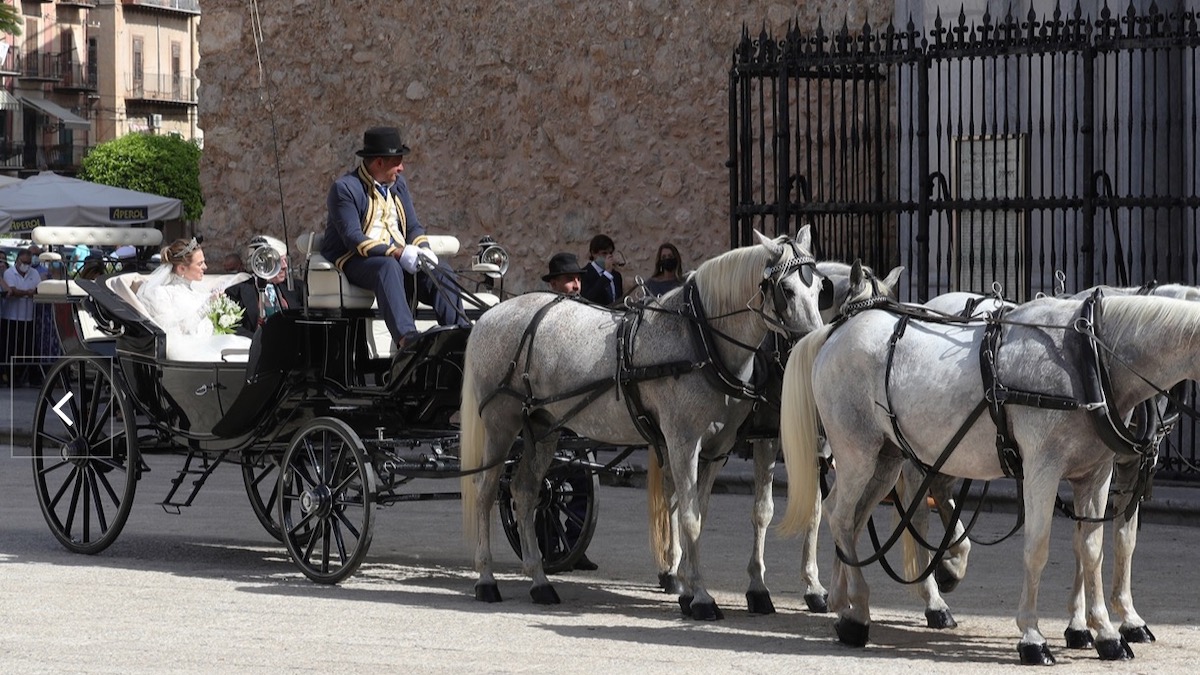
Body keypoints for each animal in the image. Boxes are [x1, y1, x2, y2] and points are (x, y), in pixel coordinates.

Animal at [458, 225, 825, 614]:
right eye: (786, 290)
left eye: (820, 287)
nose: (810, 347)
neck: (699, 339)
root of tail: (489, 317)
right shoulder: (684, 442)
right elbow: (691, 516)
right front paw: (701, 596)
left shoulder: (719, 447)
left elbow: (701, 512)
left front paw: (690, 586)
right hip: (500, 424)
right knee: (485, 492)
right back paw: (486, 578)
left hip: (543, 428)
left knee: (525, 493)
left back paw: (540, 580)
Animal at [777, 291, 1190, 658]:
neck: (1088, 357)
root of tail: (835, 330)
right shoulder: (1043, 468)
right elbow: (1038, 548)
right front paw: (1034, 636)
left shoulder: (1097, 474)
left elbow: (1093, 549)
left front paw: (1104, 631)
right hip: (859, 455)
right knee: (841, 515)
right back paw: (861, 614)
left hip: (886, 460)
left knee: (856, 517)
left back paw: (847, 601)